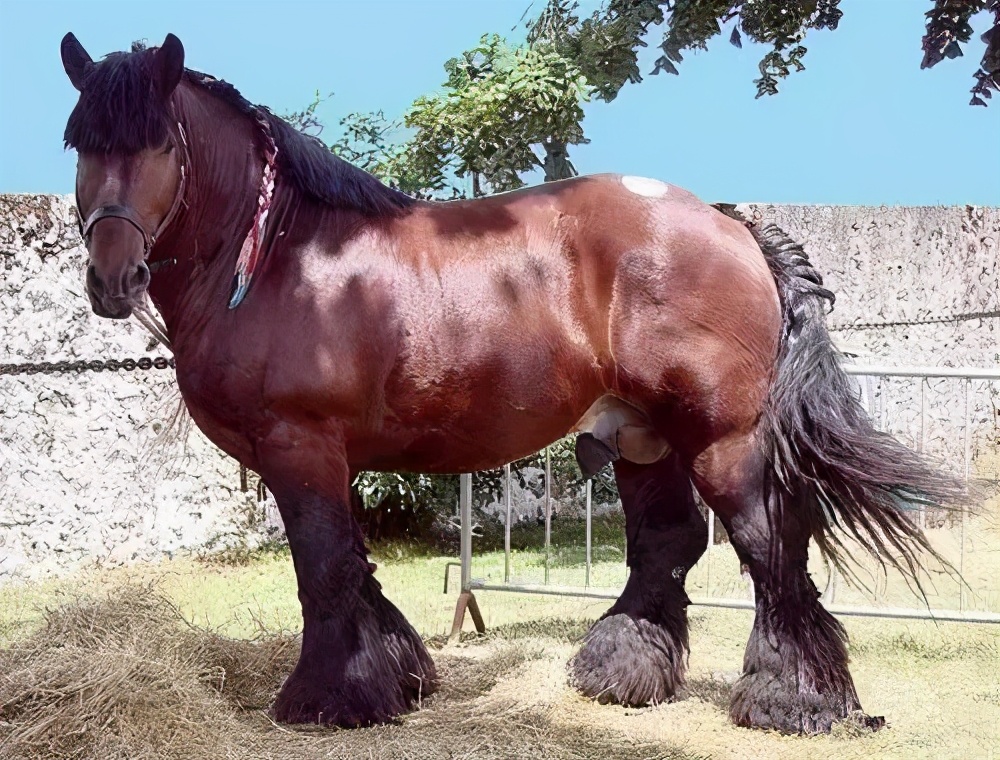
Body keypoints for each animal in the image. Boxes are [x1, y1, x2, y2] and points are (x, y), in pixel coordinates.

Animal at [59, 33, 962, 734]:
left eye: (160, 144)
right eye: (81, 145)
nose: (112, 278)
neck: (284, 256)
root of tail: (730, 224)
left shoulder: (300, 446)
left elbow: (322, 570)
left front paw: (327, 698)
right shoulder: (332, 458)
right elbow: (354, 568)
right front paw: (396, 676)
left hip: (722, 439)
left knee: (770, 546)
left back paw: (795, 700)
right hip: (642, 435)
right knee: (668, 543)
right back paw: (621, 669)